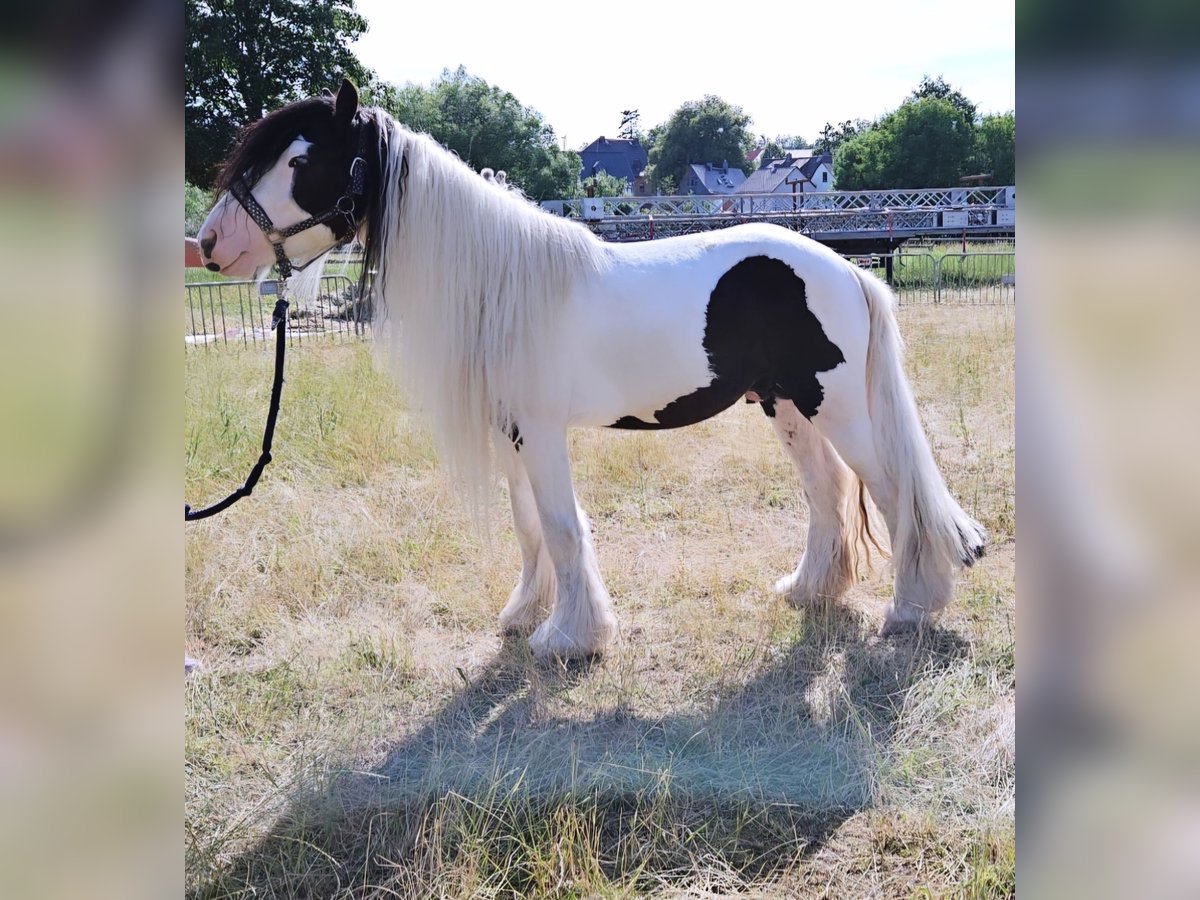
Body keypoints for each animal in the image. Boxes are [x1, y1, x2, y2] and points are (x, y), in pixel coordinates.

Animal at [196, 81, 984, 657]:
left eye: (299, 162)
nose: (210, 243)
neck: (503, 283)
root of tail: (849, 271)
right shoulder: (512, 434)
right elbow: (530, 528)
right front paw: (525, 615)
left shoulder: (543, 433)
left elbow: (562, 525)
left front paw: (569, 639)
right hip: (784, 403)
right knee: (827, 492)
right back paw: (807, 591)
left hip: (837, 405)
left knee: (894, 492)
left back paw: (910, 608)